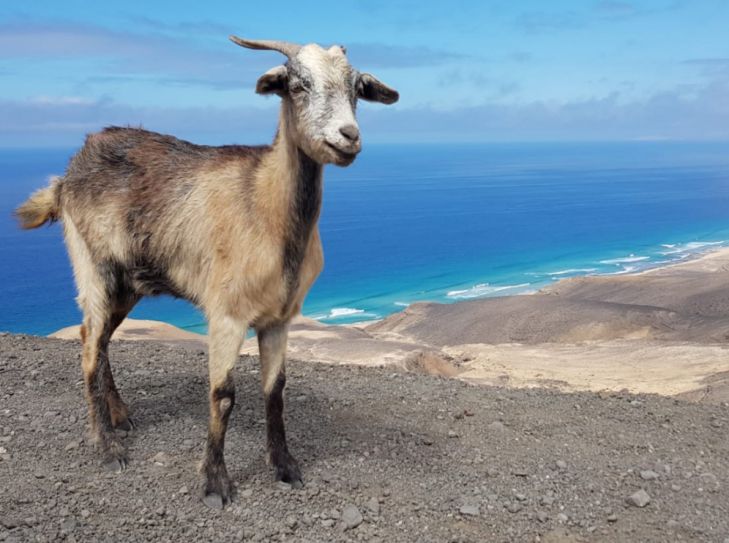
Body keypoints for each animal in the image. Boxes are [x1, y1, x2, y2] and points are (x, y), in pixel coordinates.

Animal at [15, 36, 398, 508]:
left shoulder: (278, 318)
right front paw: (215, 482)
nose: (349, 136)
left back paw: (120, 416)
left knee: (97, 339)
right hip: (93, 266)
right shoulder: (226, 314)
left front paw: (285, 466)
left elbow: (275, 391)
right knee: (88, 348)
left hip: (128, 283)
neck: (264, 205)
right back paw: (108, 448)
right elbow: (223, 395)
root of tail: (66, 175)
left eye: (357, 88)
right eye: (297, 85)